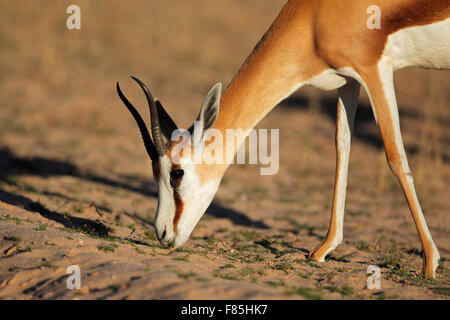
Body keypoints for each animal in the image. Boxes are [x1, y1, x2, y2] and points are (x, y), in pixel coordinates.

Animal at [117, 0, 450, 278]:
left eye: (177, 173)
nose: (162, 234)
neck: (315, 17)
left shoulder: (374, 70)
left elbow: (395, 157)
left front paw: (429, 264)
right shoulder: (348, 80)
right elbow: (342, 147)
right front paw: (323, 249)